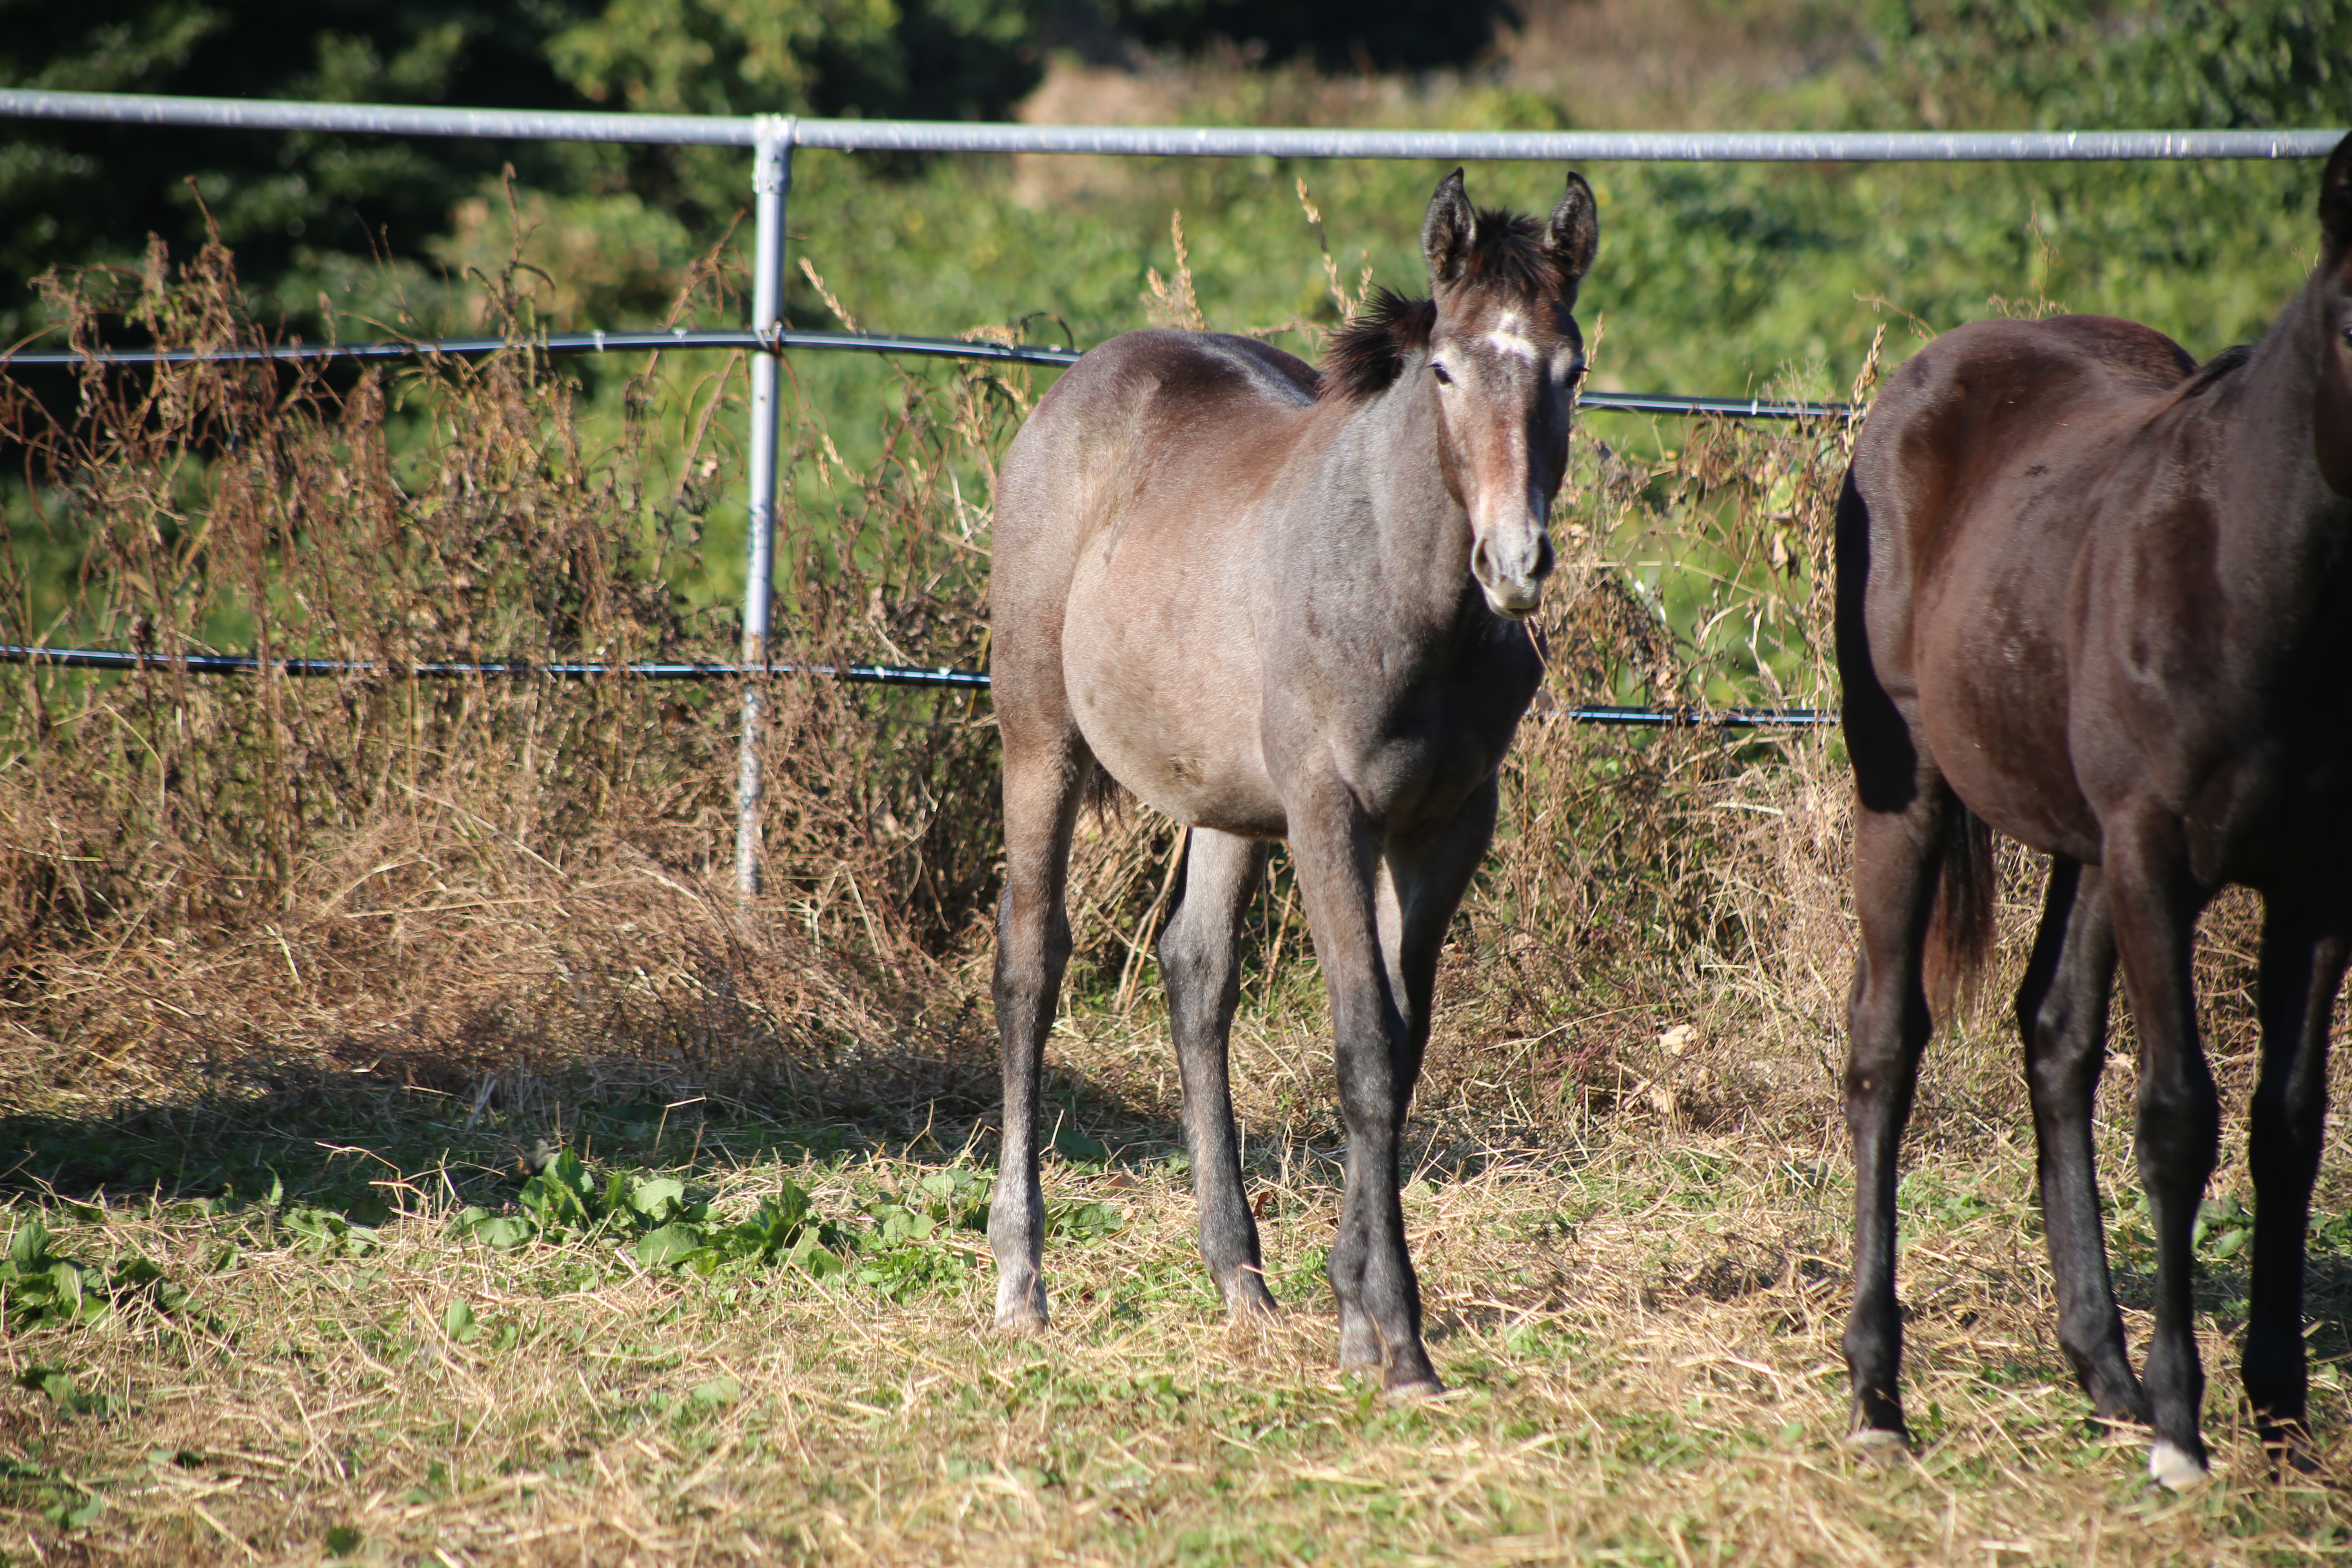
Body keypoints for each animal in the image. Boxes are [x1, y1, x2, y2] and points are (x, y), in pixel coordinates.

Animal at [983, 172, 1608, 1392]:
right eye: (1447, 367)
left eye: (1569, 369)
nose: (1514, 565)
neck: (1408, 599)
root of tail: (1088, 377)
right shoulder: (1331, 813)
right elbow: (1362, 1044)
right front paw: (1398, 1338)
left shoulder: (1448, 826)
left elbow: (1402, 1051)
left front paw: (1354, 1307)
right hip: (1040, 742)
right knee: (1030, 964)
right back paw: (1021, 1279)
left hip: (1226, 796)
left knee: (1195, 971)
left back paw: (1241, 1276)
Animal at [1834, 131, 2352, 1486]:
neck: (2250, 576)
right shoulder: (2157, 856)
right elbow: (2178, 1118)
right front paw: (2184, 1426)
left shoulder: (2320, 885)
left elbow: (2288, 1124)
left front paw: (2279, 1415)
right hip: (1915, 795)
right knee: (1885, 1043)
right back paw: (1878, 1389)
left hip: (2078, 841)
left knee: (2053, 1032)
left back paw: (2100, 1366)